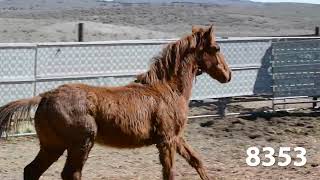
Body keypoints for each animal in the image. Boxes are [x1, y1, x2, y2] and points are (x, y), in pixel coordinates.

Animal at [0, 25, 230, 180]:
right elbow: (169, 173)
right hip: (81, 143)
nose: (228, 75)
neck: (168, 89)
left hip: (52, 146)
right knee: (70, 174)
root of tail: (45, 96)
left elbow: (196, 161)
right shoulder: (166, 140)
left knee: (32, 170)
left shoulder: (176, 137)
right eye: (216, 48)